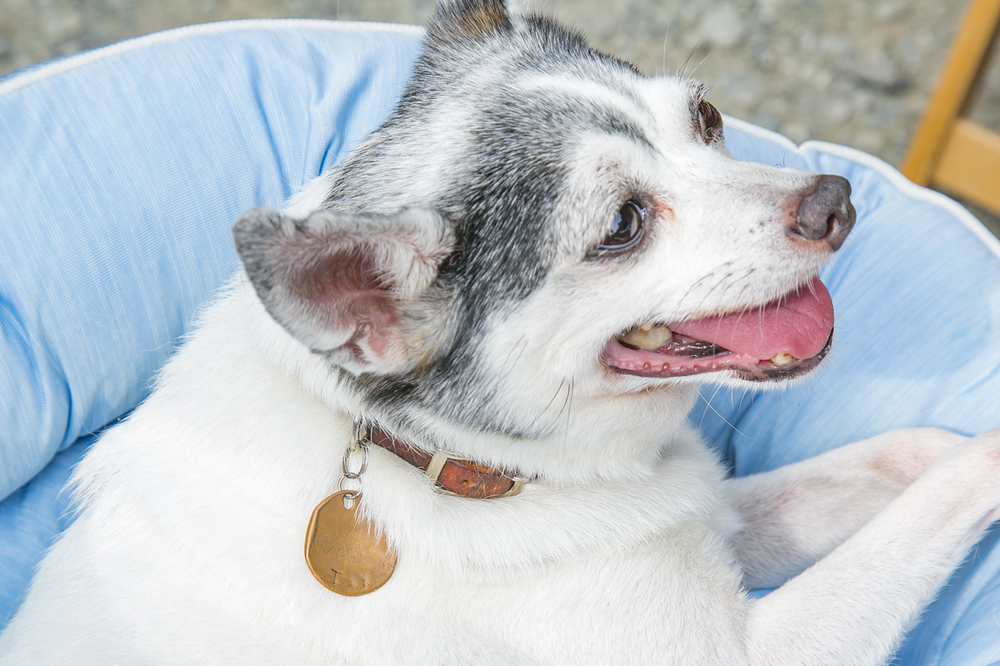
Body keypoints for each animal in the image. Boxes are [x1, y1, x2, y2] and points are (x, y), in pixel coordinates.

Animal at [1, 1, 1000, 664]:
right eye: (623, 225)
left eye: (708, 120)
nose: (834, 199)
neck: (443, 460)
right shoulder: (762, 645)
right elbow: (920, 516)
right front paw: (987, 456)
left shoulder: (708, 514)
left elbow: (899, 464)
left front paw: (942, 443)